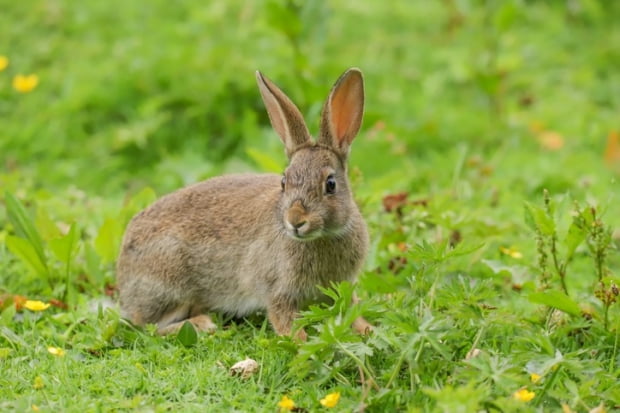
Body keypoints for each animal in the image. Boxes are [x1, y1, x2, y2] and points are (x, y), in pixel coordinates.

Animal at [116, 68, 370, 338]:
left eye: (330, 184)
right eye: (284, 181)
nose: (295, 221)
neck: (323, 237)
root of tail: (123, 274)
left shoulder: (343, 288)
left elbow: (352, 311)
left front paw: (368, 329)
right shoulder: (278, 291)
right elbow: (286, 323)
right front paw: (301, 342)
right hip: (171, 283)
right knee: (149, 326)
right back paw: (202, 324)